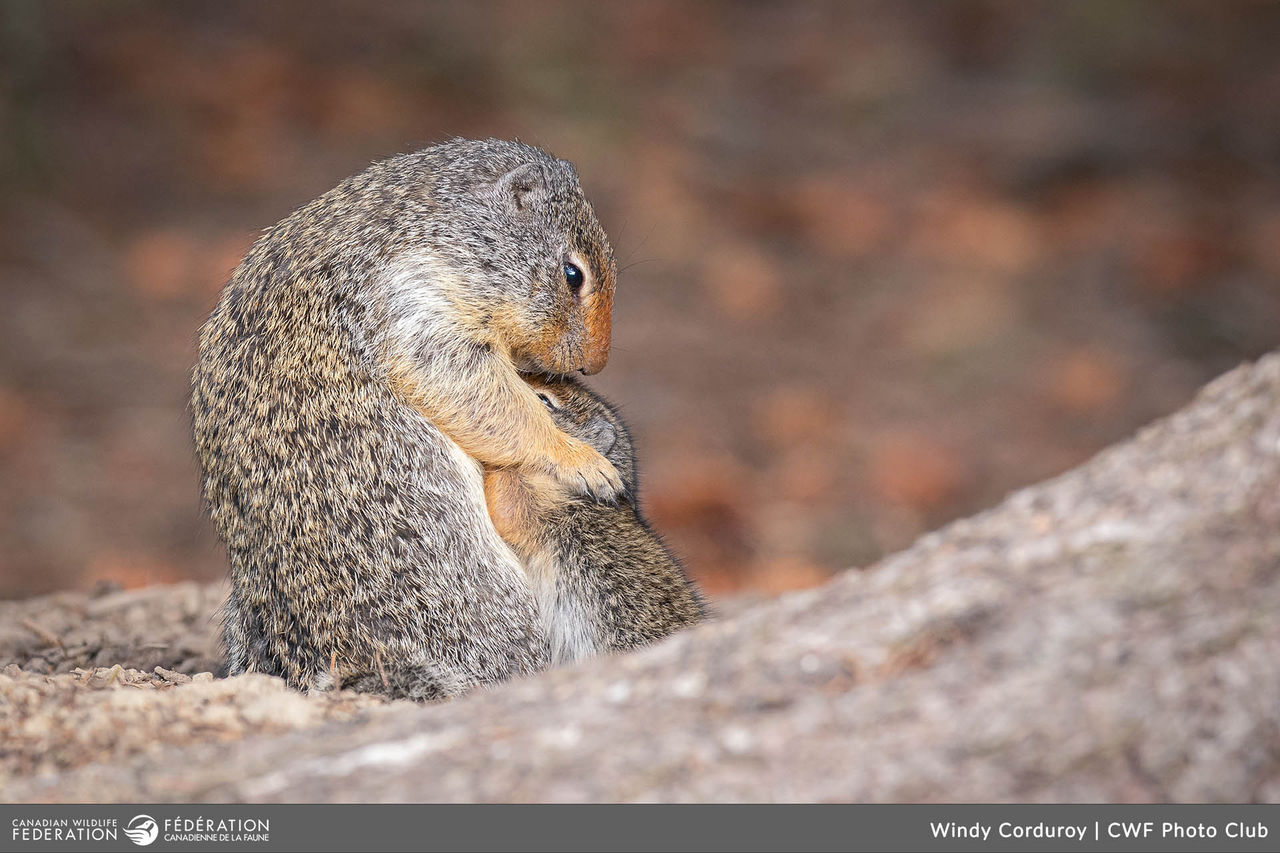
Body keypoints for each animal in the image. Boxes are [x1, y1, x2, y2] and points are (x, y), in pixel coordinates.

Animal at [191, 138, 621, 699]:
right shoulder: (416, 306)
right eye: (574, 274)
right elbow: (484, 397)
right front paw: (583, 461)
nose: (595, 365)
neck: (436, 226)